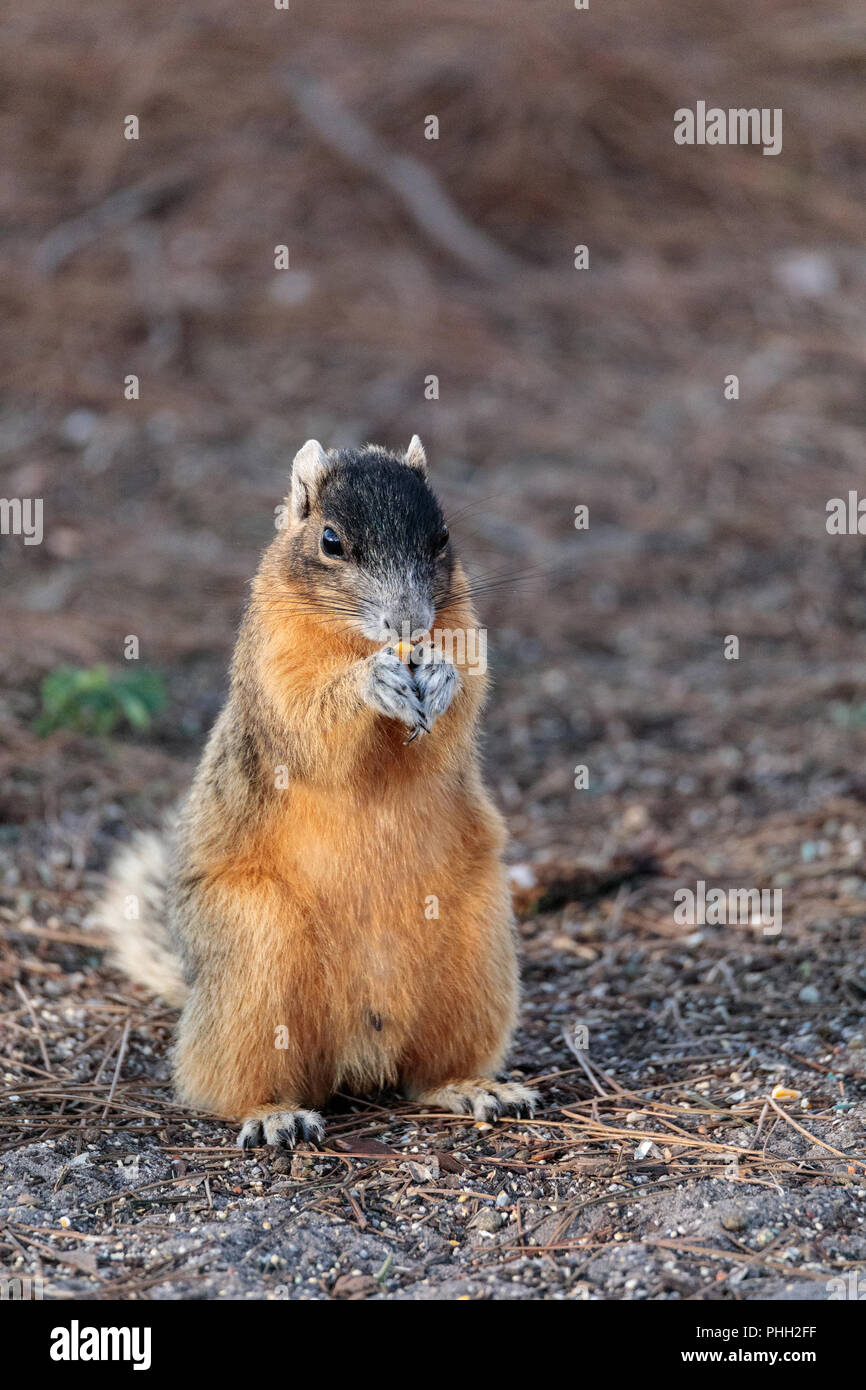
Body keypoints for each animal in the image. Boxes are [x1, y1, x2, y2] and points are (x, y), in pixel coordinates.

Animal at [97, 439, 539, 1145]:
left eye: (443, 537)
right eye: (331, 541)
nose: (408, 622)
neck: (359, 639)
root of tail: (361, 1050)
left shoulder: (463, 622)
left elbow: (464, 700)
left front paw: (441, 677)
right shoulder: (276, 659)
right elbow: (311, 718)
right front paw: (372, 681)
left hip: (479, 952)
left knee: (425, 1075)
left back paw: (473, 1088)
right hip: (255, 956)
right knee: (223, 1079)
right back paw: (273, 1115)